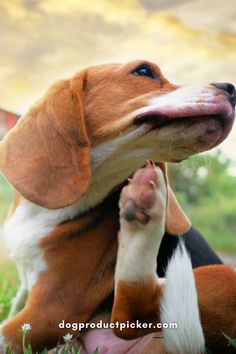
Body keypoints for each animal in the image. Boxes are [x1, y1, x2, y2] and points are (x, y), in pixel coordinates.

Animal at [0, 59, 235, 352]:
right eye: (144, 71)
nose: (231, 89)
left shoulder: (52, 310)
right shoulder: (26, 288)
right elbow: (14, 305)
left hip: (222, 276)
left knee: (131, 314)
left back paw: (143, 224)